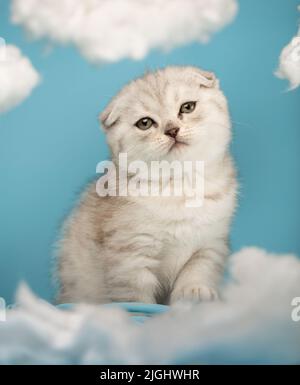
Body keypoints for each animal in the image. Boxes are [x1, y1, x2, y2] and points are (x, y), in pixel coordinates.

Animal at [57, 67, 238, 306]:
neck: (178, 185)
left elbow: (199, 268)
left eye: (187, 107)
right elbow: (135, 295)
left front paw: (194, 292)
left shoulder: (212, 242)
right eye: (145, 123)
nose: (172, 130)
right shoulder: (130, 254)